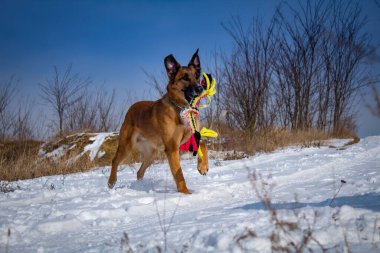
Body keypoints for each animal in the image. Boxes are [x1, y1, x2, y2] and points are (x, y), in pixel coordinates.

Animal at [107, 50, 208, 195]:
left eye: (197, 76)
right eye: (185, 78)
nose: (200, 89)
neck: (181, 108)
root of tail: (131, 108)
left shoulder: (189, 140)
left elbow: (204, 144)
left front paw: (203, 167)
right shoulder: (172, 147)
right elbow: (179, 174)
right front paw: (185, 194)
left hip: (152, 154)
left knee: (139, 172)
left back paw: (140, 186)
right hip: (126, 146)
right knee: (115, 161)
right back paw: (111, 182)